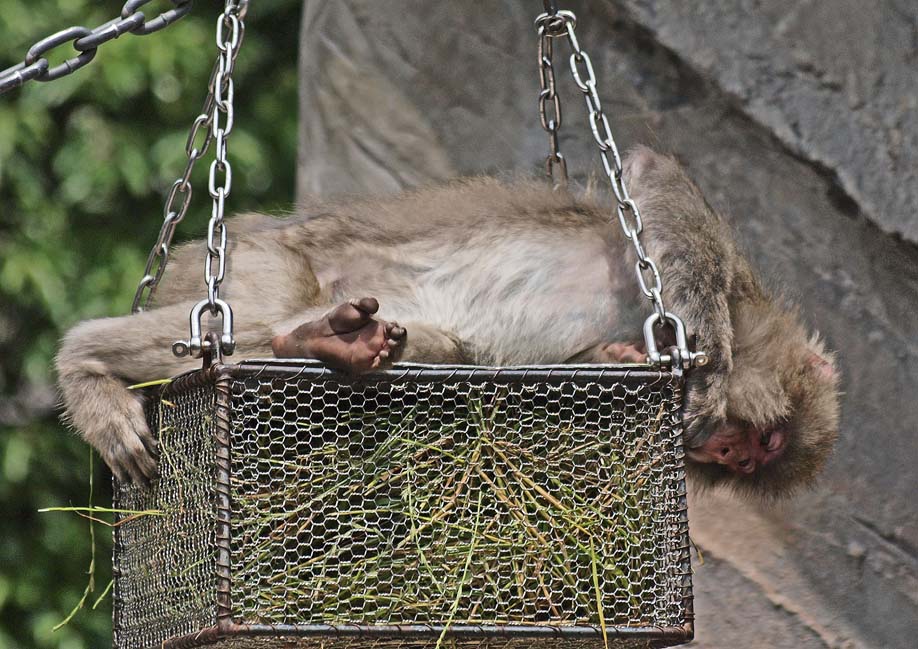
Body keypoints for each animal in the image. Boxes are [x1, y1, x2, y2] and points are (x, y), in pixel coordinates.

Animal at [54, 147, 836, 496]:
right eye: (758, 445)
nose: (727, 453)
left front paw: (619, 360)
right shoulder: (729, 271)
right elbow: (657, 181)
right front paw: (709, 359)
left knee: (433, 341)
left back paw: (329, 343)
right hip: (262, 264)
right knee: (242, 322)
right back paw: (84, 364)